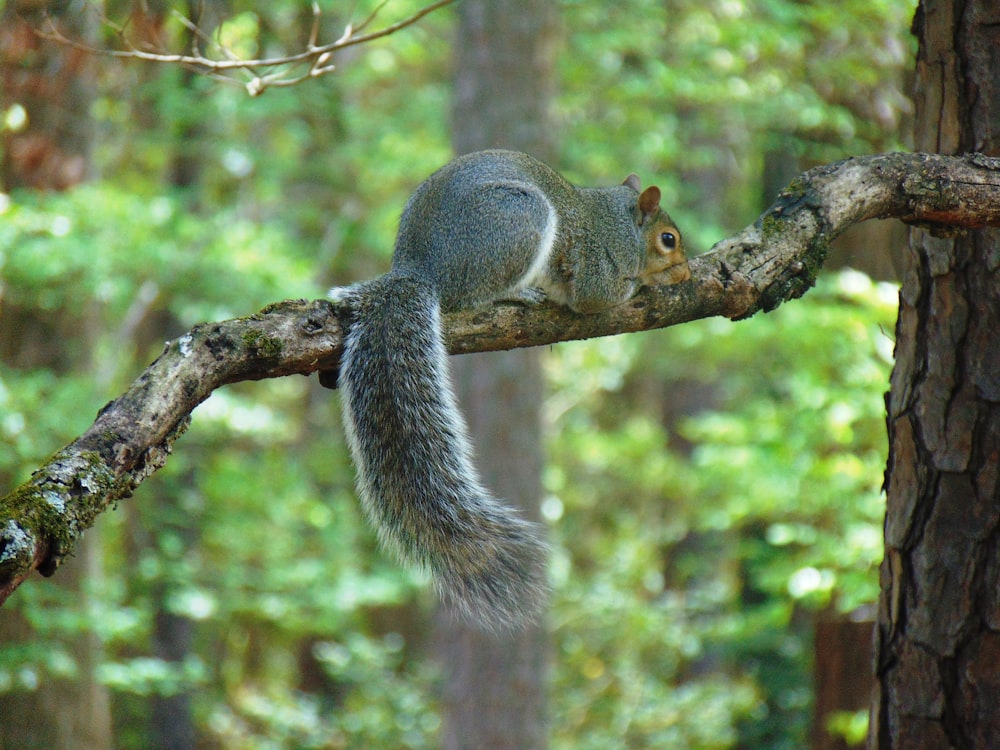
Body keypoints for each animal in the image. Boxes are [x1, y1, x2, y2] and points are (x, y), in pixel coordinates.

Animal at [332, 150, 692, 632]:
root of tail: (422, 271)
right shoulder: (598, 264)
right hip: (518, 221)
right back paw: (519, 296)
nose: (687, 271)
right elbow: (598, 297)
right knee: (470, 300)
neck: (617, 221)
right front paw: (646, 282)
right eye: (668, 240)